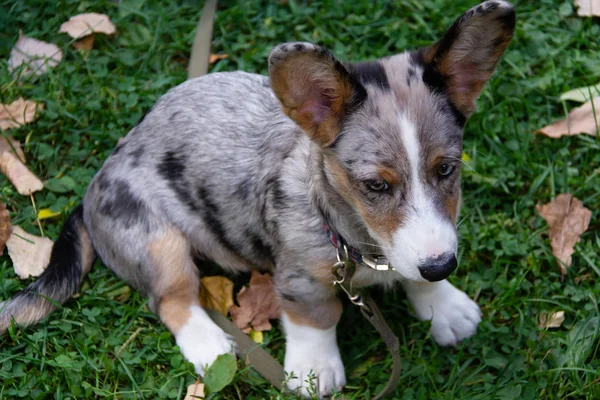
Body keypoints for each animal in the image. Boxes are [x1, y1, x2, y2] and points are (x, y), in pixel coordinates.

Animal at [1, 1, 516, 396]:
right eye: (375, 186)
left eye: (447, 169)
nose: (442, 266)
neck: (357, 240)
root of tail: (95, 184)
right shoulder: (301, 279)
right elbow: (317, 318)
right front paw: (315, 371)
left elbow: (417, 275)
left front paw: (445, 306)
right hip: (157, 242)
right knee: (172, 300)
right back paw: (211, 347)